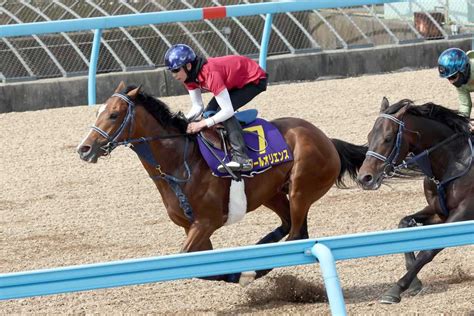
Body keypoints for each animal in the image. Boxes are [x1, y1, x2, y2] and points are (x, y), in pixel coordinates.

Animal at [78, 82, 366, 286]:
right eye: (98, 112)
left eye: (114, 115)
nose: (84, 149)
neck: (180, 162)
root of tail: (326, 139)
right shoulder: (192, 226)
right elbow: (205, 267)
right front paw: (237, 272)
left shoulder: (207, 222)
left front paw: (244, 275)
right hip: (272, 193)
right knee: (287, 226)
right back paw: (258, 252)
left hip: (300, 189)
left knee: (297, 234)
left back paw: (258, 265)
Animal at [358, 96, 474, 304]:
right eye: (370, 137)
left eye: (388, 138)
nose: (365, 178)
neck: (454, 161)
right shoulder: (438, 212)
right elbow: (404, 224)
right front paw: (414, 282)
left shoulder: (463, 213)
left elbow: (428, 251)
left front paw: (396, 288)